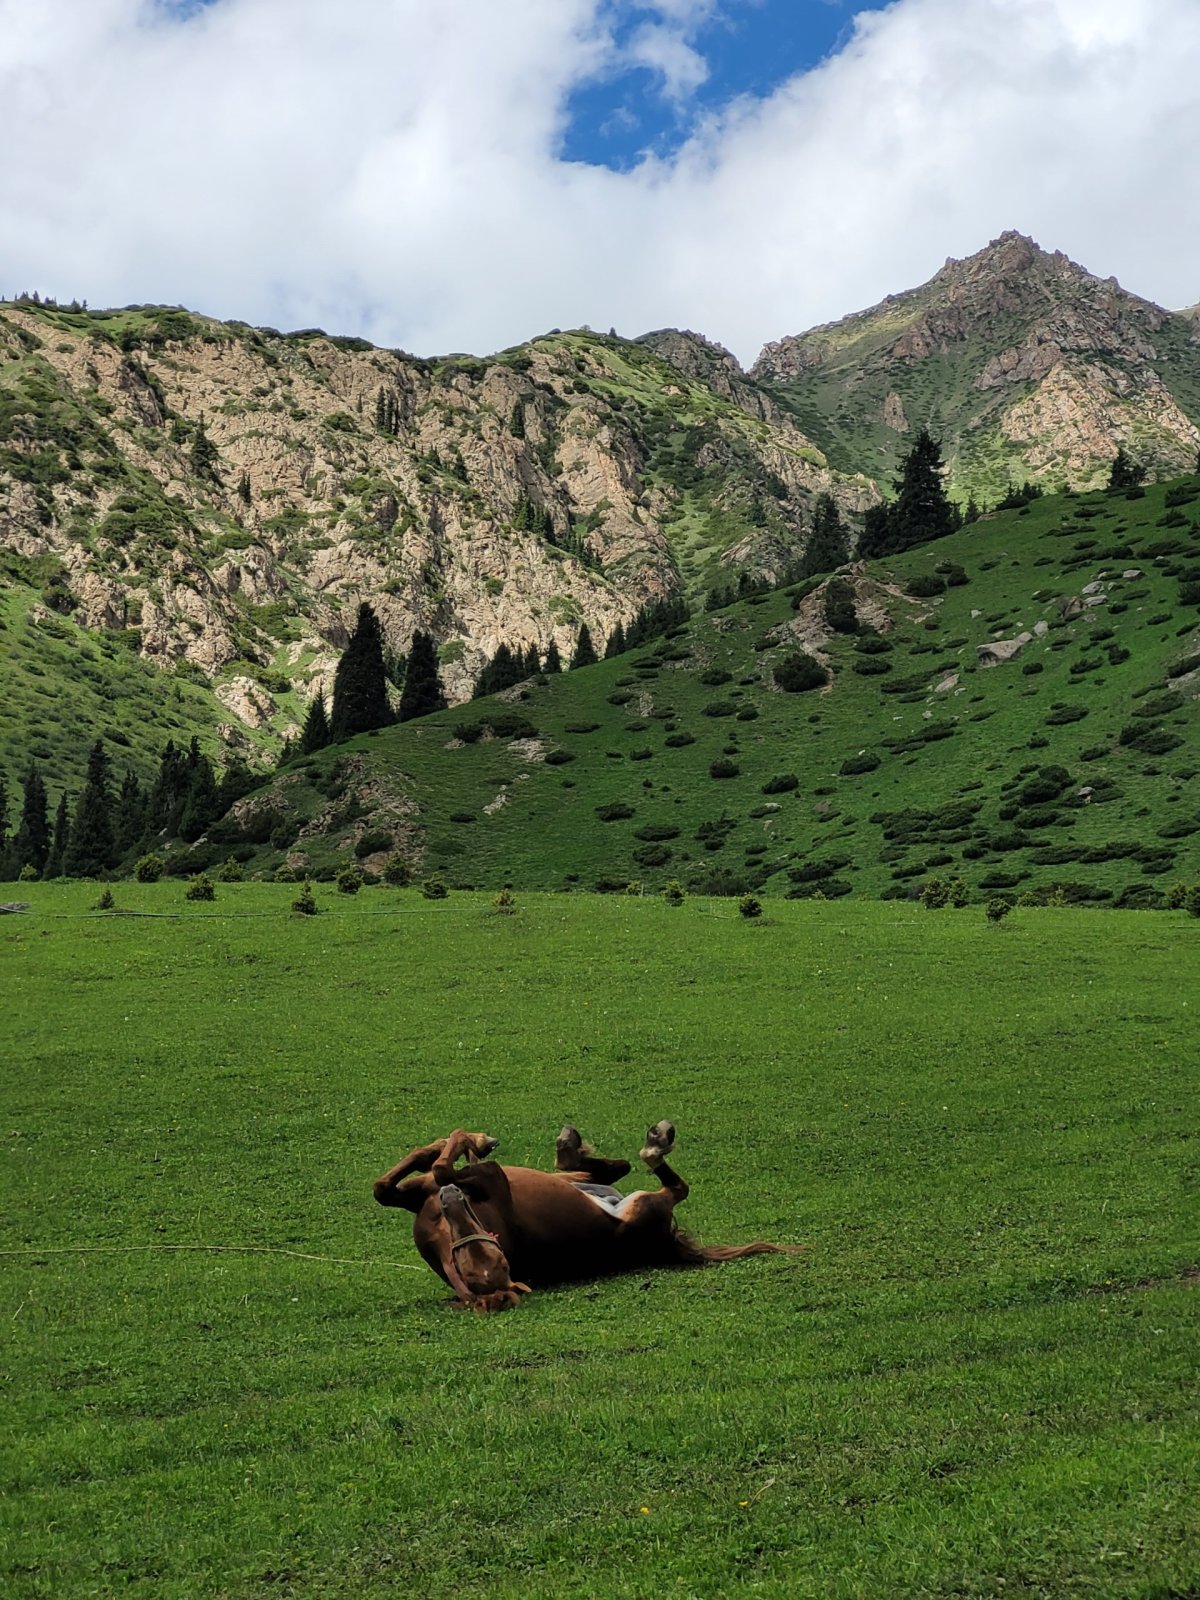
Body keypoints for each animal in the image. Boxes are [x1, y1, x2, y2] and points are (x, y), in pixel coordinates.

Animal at [371, 1126, 793, 1312]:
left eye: (499, 1259)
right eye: (473, 1263)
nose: (451, 1199)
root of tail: (661, 1244)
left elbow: (399, 1179)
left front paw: (456, 1145)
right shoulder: (486, 1178)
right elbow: (436, 1167)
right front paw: (470, 1142)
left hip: (600, 1187)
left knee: (612, 1169)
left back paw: (573, 1147)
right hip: (646, 1203)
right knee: (670, 1184)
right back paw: (654, 1143)